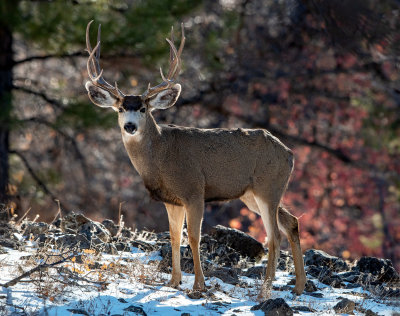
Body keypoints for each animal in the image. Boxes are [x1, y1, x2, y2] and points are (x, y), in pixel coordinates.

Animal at [84, 21, 306, 296]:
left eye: (144, 109)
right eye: (121, 108)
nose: (130, 126)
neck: (162, 156)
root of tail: (289, 153)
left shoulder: (194, 190)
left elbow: (193, 237)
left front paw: (199, 285)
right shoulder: (172, 200)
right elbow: (174, 236)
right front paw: (173, 281)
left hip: (268, 186)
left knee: (274, 235)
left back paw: (265, 290)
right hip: (253, 194)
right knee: (291, 222)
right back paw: (299, 286)